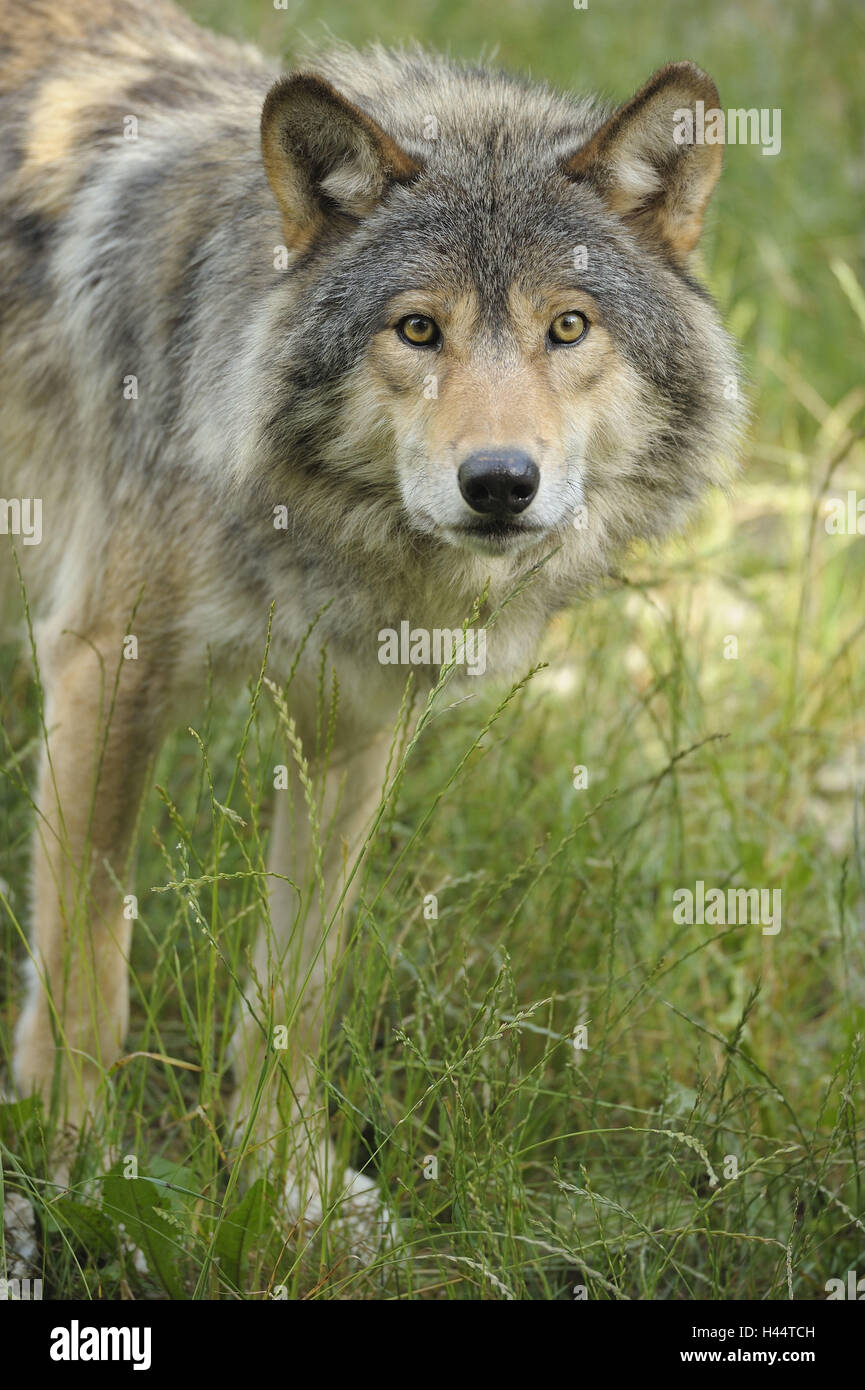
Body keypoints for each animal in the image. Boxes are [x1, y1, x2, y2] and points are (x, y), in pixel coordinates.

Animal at [0, 0, 739, 1239]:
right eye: (417, 330)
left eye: (567, 326)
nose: (500, 483)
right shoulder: (105, 670)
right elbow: (88, 967)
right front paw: (74, 1179)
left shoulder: (358, 722)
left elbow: (297, 986)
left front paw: (285, 1184)